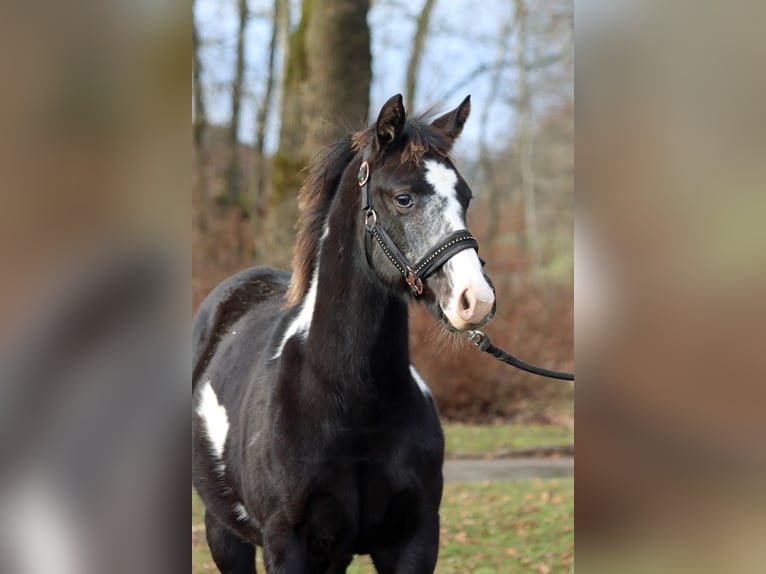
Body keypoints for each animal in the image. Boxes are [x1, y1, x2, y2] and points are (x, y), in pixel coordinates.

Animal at [192, 94, 496, 573]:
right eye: (404, 198)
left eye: (465, 196)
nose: (476, 299)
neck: (351, 400)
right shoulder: (287, 545)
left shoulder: (415, 540)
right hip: (224, 533)